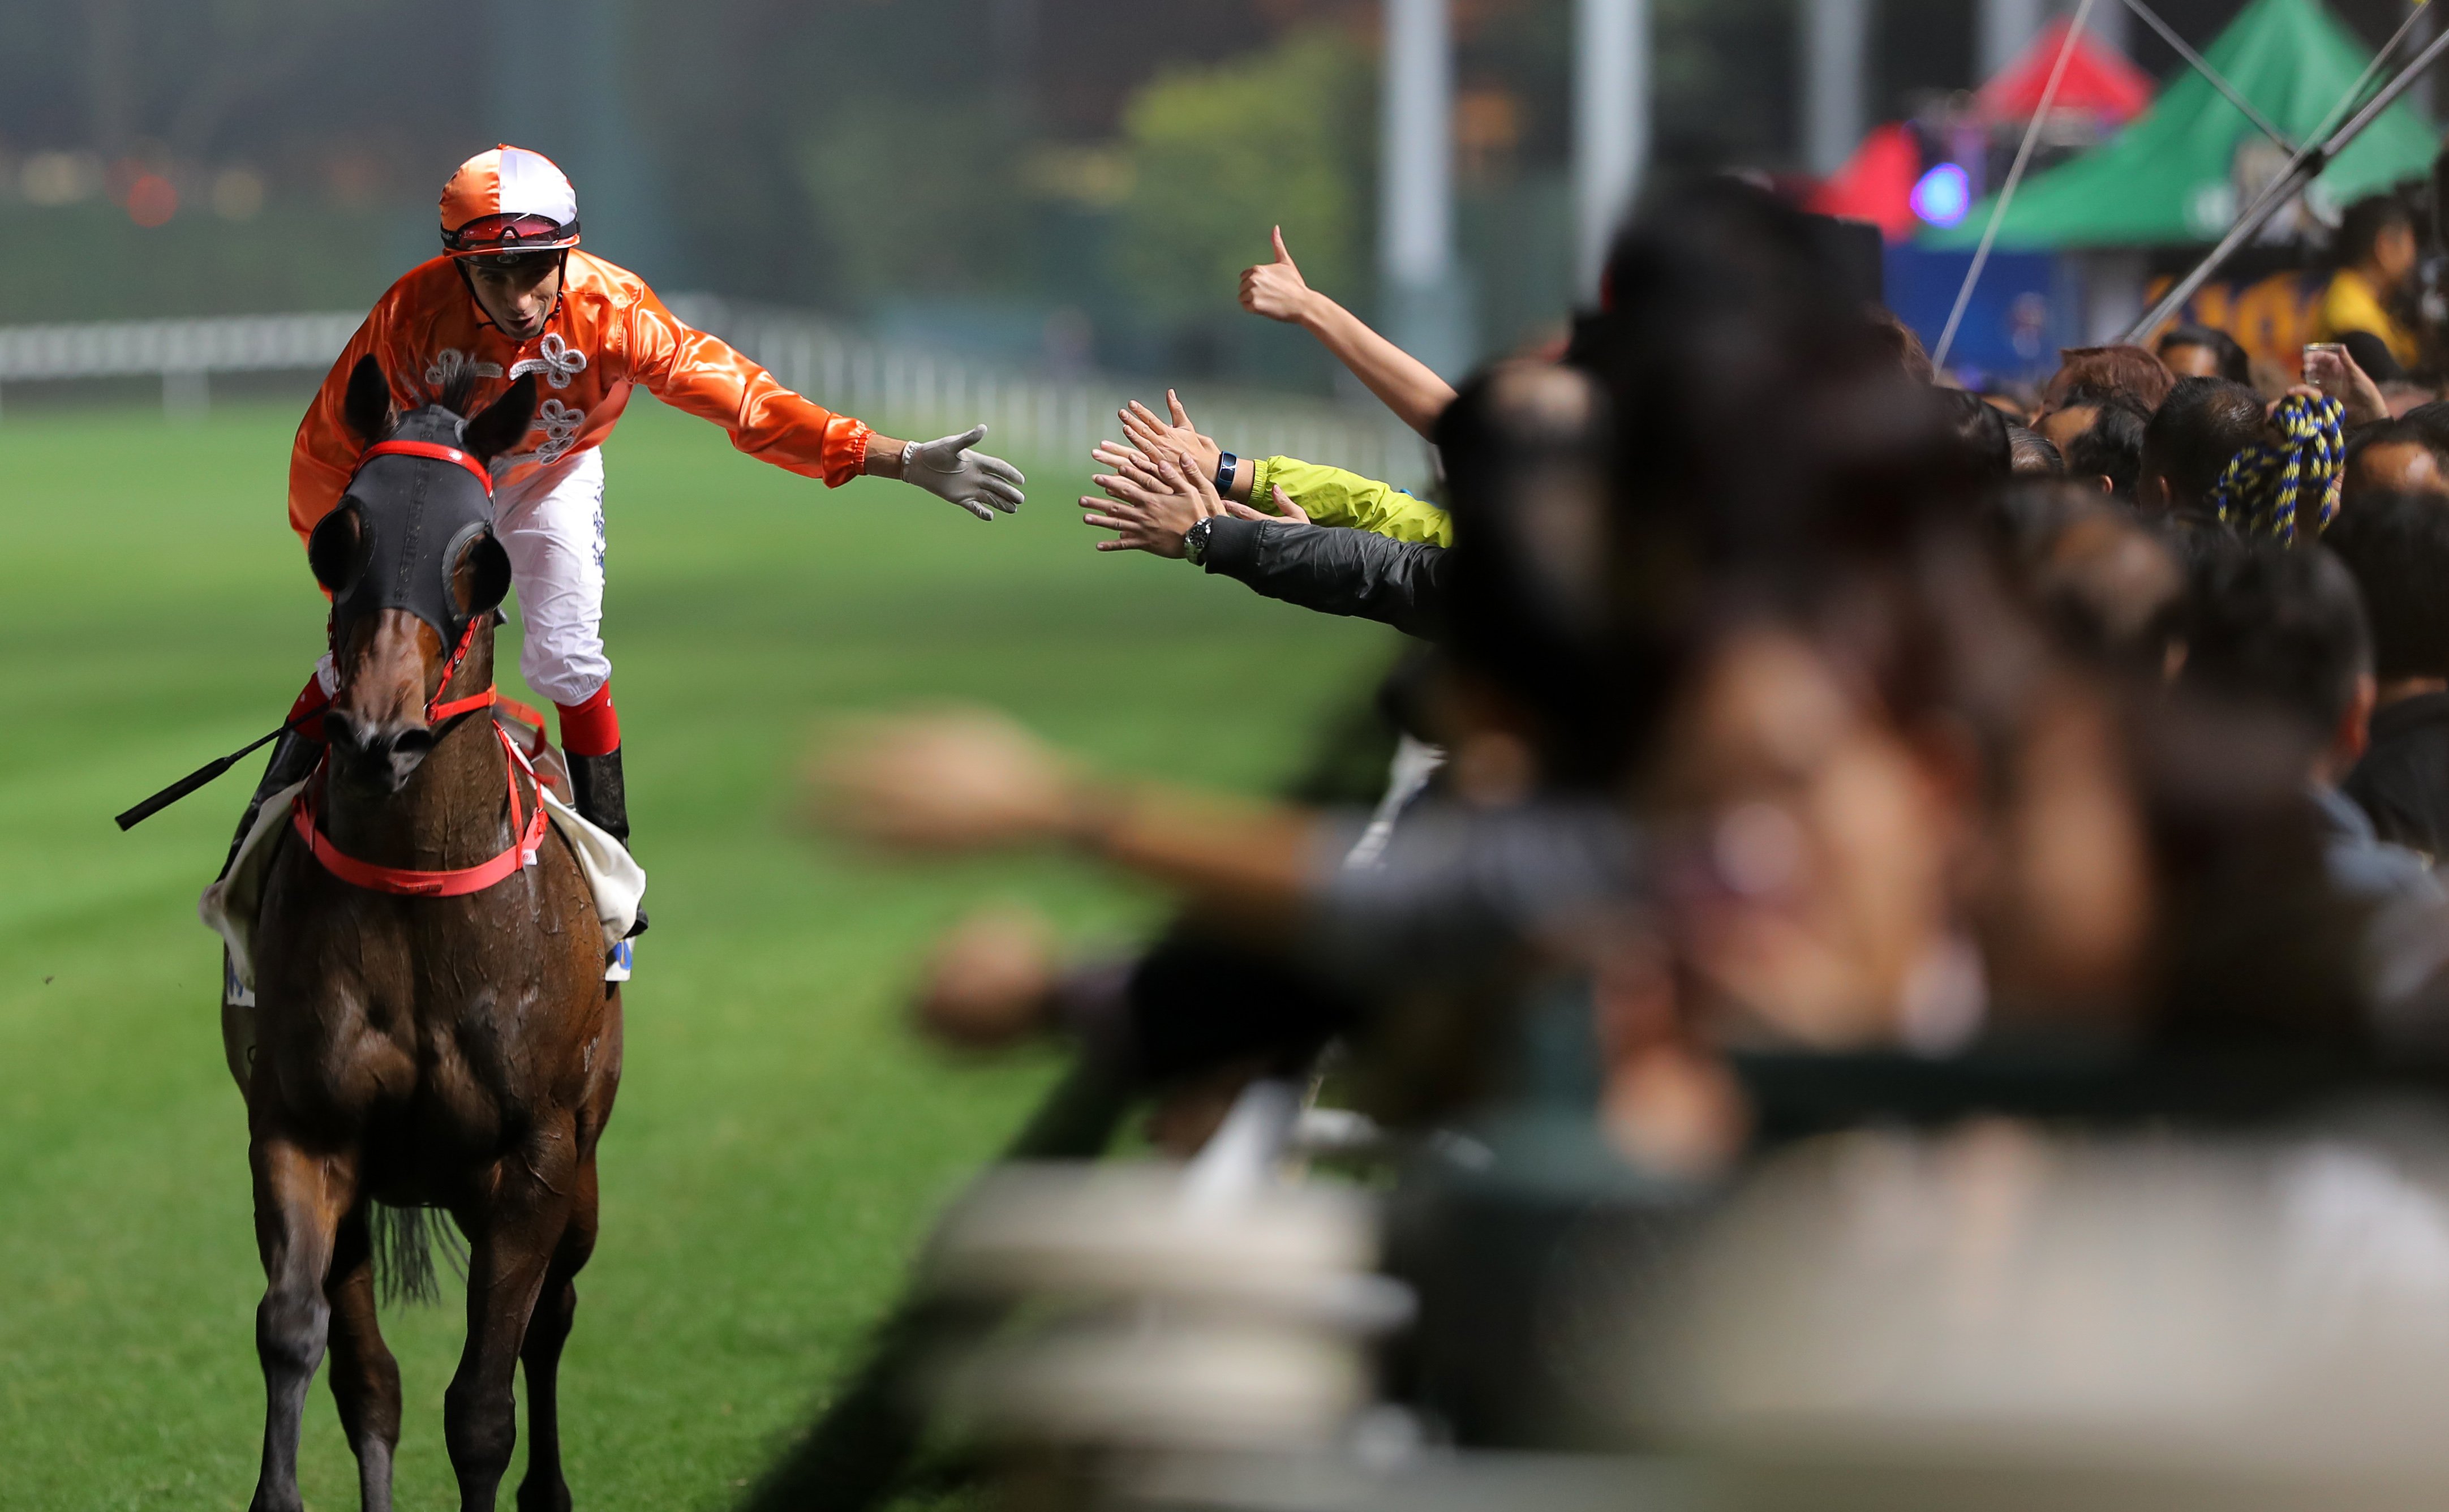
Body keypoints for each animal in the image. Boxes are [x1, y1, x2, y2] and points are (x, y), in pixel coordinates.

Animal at [242, 358, 622, 1509]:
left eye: (482, 556)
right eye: (340, 536)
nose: (379, 735)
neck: (418, 882)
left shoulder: (531, 1158)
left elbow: (484, 1406)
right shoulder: (302, 1127)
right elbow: (299, 1333)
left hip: (584, 1165)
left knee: (553, 1320)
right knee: (370, 1376)